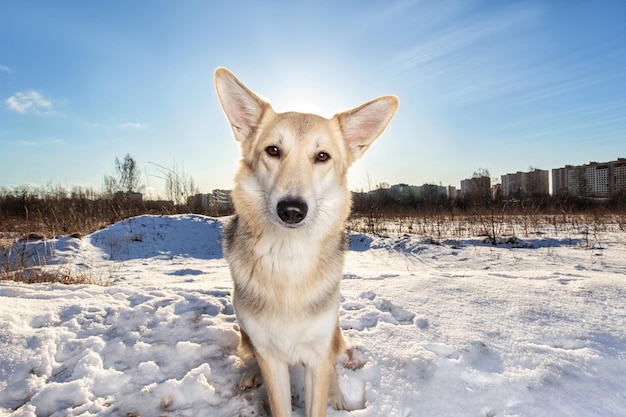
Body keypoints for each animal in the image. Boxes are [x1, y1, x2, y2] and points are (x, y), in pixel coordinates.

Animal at [214, 66, 398, 414]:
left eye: (322, 156)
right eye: (273, 150)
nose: (291, 210)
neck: (288, 258)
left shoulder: (317, 355)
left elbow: (320, 391)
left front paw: (332, 398)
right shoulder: (271, 359)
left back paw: (338, 397)